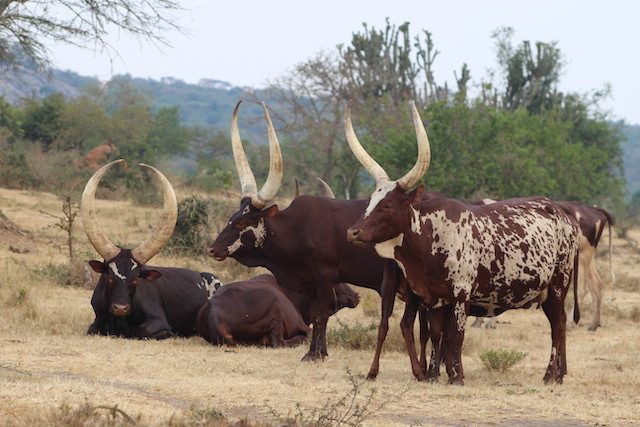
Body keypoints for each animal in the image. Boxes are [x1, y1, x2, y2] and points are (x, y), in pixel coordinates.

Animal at [81, 160, 221, 342]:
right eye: (110, 277)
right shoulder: (95, 322)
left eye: (136, 280)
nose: (120, 308)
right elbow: (92, 329)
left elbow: (142, 331)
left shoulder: (157, 320)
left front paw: (168, 333)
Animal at [344, 102, 580, 386]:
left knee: (558, 325)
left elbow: (455, 336)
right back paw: (559, 373)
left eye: (388, 205)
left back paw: (551, 374)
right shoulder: (433, 298)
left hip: (557, 286)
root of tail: (563, 214)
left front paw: (456, 376)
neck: (431, 236)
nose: (353, 232)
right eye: (370, 201)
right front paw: (433, 374)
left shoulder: (460, 295)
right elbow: (436, 334)